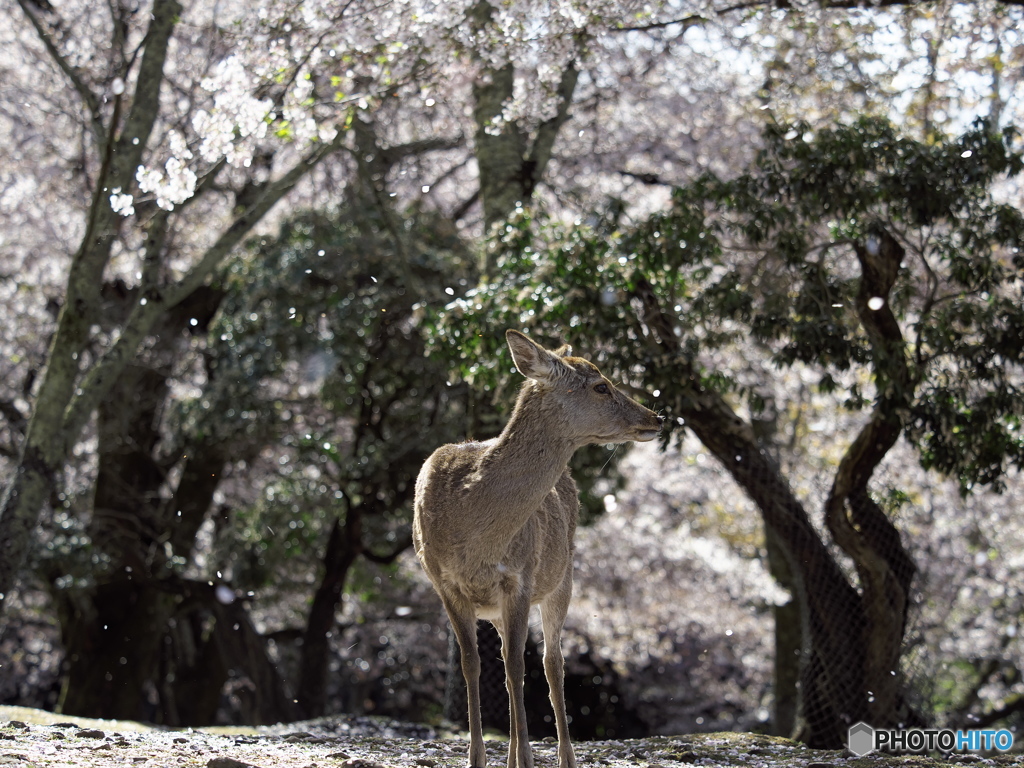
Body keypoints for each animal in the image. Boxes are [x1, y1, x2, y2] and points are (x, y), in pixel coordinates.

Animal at [413, 329, 663, 768]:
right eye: (601, 386)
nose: (656, 417)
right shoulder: (446, 585)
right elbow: (472, 664)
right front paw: (477, 757)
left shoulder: (520, 577)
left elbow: (518, 667)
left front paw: (526, 759)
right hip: (501, 606)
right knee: (511, 661)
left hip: (562, 579)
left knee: (551, 662)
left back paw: (564, 756)